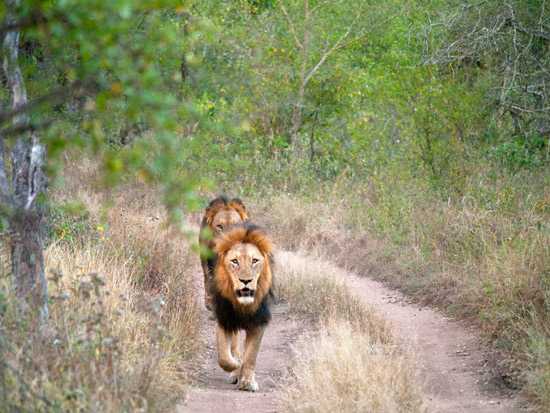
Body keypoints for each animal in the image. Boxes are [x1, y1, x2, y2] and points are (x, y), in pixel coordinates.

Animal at [209, 224, 274, 392]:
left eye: (255, 261)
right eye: (235, 261)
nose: (246, 281)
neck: (243, 305)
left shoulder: (258, 322)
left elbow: (251, 356)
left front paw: (247, 382)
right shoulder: (224, 320)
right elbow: (224, 357)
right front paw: (236, 365)